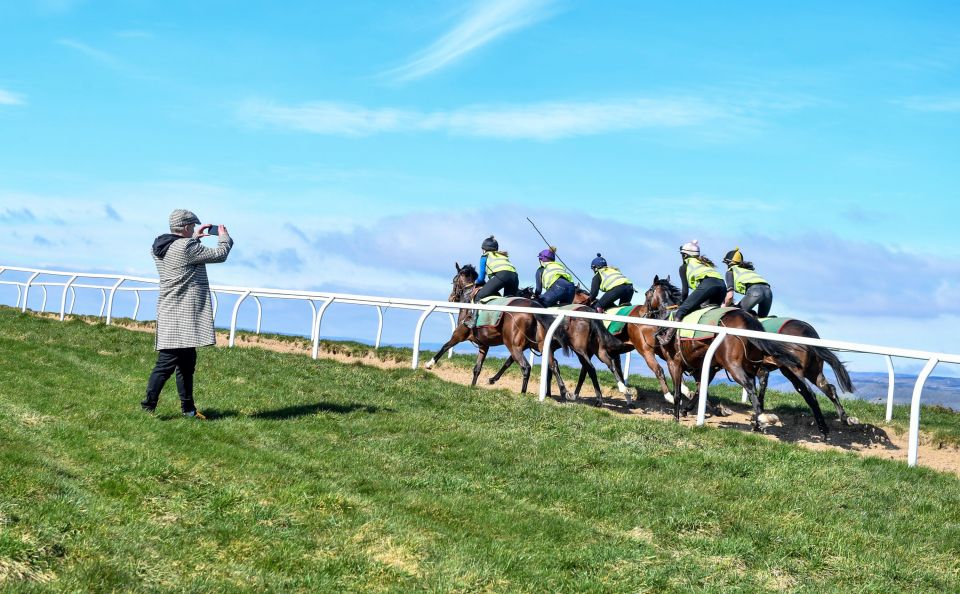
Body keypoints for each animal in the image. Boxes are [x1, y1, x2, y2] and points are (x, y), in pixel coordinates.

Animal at [426, 264, 572, 398]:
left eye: (454, 280)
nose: (451, 298)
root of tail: (534, 307)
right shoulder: (484, 345)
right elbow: (477, 368)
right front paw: (473, 386)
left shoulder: (459, 334)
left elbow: (445, 346)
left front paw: (430, 364)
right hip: (539, 344)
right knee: (553, 365)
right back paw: (563, 391)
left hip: (513, 344)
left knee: (526, 367)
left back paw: (523, 394)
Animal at [644, 278, 804, 430]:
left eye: (647, 293)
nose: (645, 314)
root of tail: (748, 318)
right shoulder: (703, 366)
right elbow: (700, 389)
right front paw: (706, 409)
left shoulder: (674, 363)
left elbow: (679, 393)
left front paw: (676, 418)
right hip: (750, 364)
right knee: (756, 385)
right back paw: (757, 422)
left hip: (732, 364)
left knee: (749, 384)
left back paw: (762, 419)